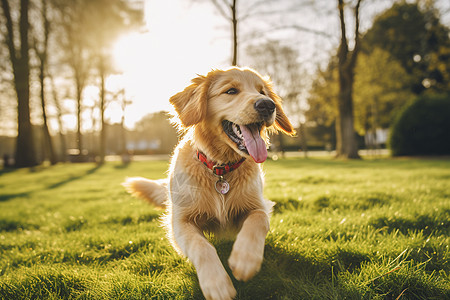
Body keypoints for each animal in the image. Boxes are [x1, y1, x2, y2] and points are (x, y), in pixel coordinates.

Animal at [123, 67, 296, 298]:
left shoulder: (259, 205)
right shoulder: (180, 221)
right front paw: (216, 283)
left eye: (262, 92)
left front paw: (245, 259)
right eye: (231, 91)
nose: (267, 105)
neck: (220, 169)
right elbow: (201, 246)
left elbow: (257, 220)